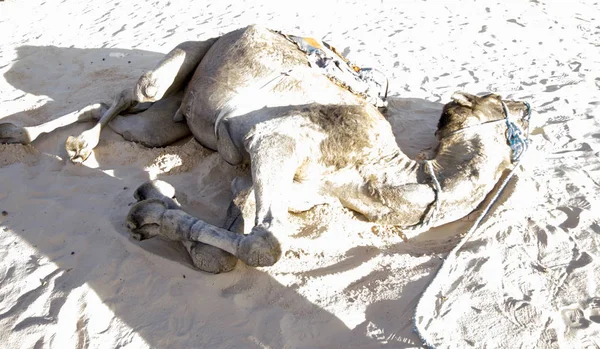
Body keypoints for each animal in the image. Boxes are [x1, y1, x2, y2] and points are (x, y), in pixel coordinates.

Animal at [0, 25, 528, 274]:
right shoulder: (276, 140)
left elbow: (221, 250)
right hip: (200, 50)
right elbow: (265, 244)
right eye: (502, 104)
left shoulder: (258, 179)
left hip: (169, 122)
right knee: (136, 89)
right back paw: (30, 135)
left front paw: (156, 207)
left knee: (123, 115)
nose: (527, 106)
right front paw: (150, 209)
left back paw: (65, 142)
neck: (374, 173)